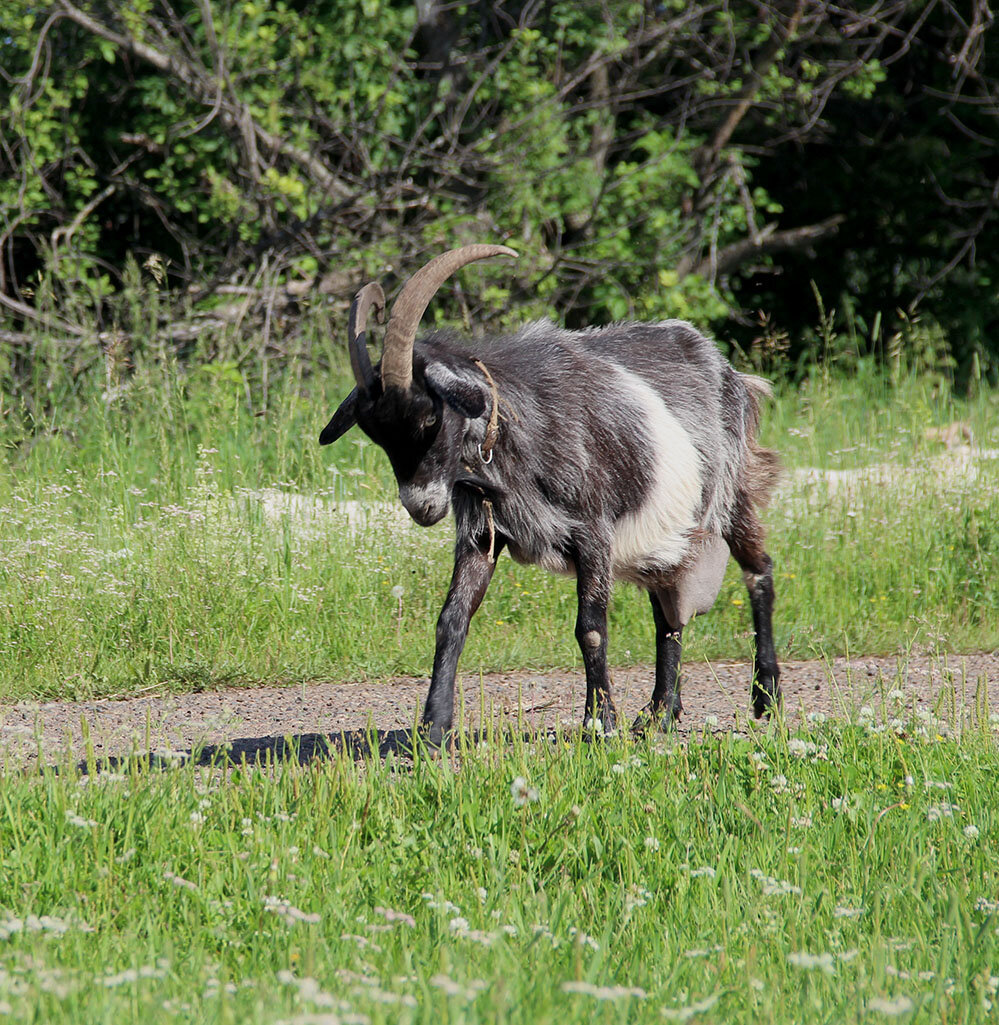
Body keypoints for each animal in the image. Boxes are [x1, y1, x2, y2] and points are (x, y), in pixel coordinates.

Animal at [319, 243, 782, 738]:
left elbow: (590, 627)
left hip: (730, 495)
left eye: (429, 417)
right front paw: (432, 730)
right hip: (668, 534)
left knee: (758, 572)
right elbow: (452, 621)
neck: (521, 433)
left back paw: (766, 697)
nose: (420, 506)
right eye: (374, 434)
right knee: (667, 612)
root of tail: (729, 371)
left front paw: (600, 721)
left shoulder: (594, 532)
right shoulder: (482, 535)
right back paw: (659, 712)